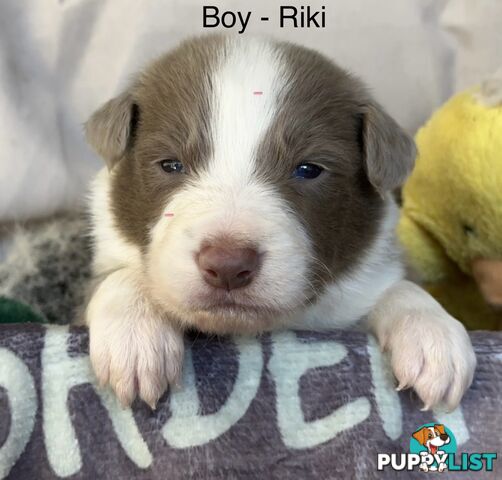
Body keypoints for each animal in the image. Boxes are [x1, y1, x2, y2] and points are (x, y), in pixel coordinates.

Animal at [84, 34, 476, 408]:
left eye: (308, 169)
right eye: (170, 164)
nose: (228, 265)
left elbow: (399, 288)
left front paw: (433, 334)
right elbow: (122, 276)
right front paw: (134, 337)